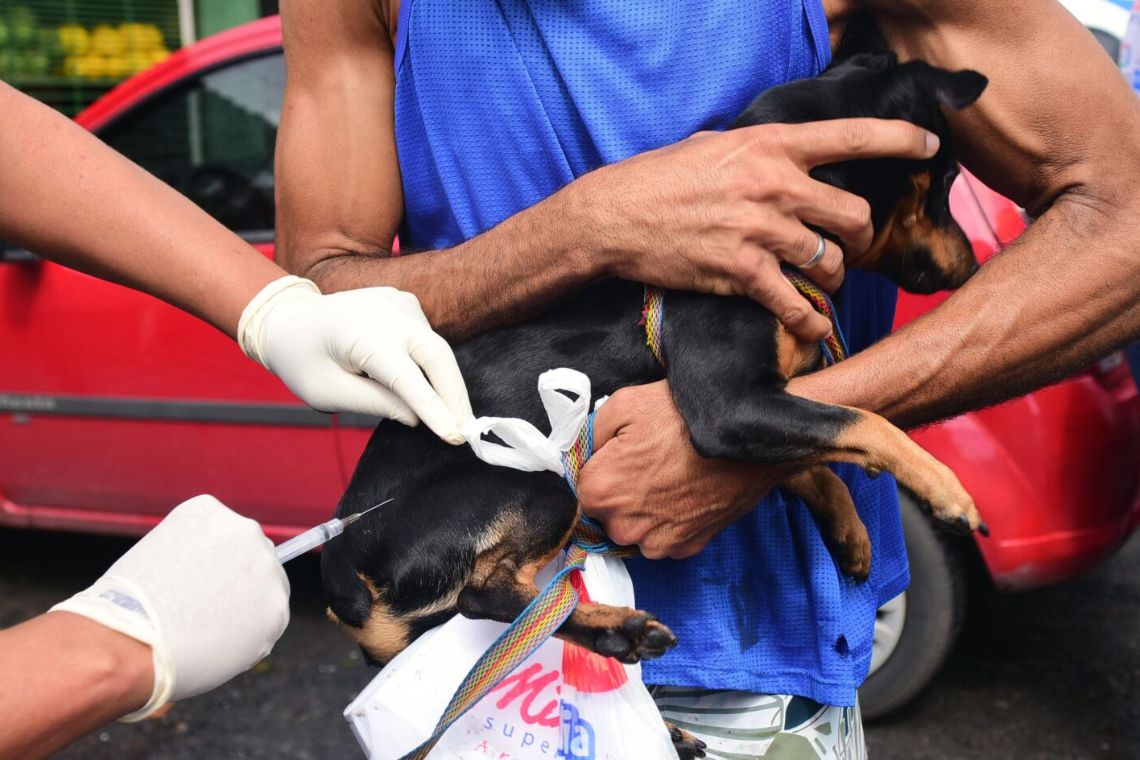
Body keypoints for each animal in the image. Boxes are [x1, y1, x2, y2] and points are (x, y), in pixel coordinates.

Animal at [321, 50, 989, 711]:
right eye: (950, 179)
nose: (974, 264)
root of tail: (341, 573)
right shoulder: (725, 405)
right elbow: (861, 422)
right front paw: (945, 488)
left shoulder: (757, 407)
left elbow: (806, 459)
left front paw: (847, 530)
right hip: (542, 477)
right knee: (484, 595)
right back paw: (620, 630)